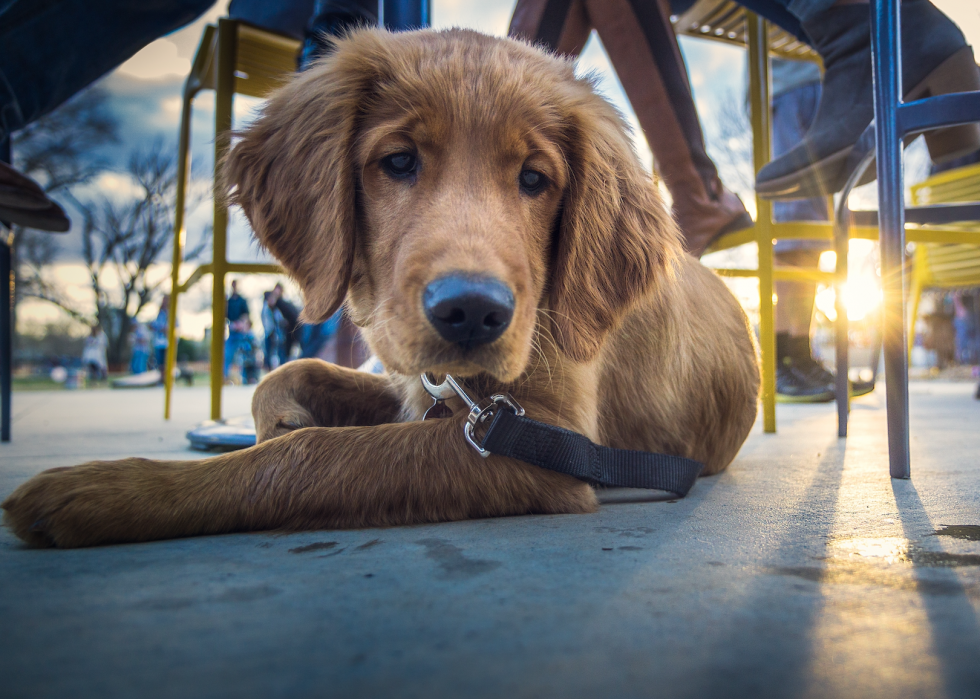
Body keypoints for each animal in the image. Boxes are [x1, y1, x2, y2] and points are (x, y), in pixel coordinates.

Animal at [1, 30, 756, 548]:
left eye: (535, 179)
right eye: (398, 161)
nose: (472, 313)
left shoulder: (545, 436)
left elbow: (311, 458)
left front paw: (112, 489)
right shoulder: (421, 384)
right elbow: (290, 372)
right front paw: (281, 418)